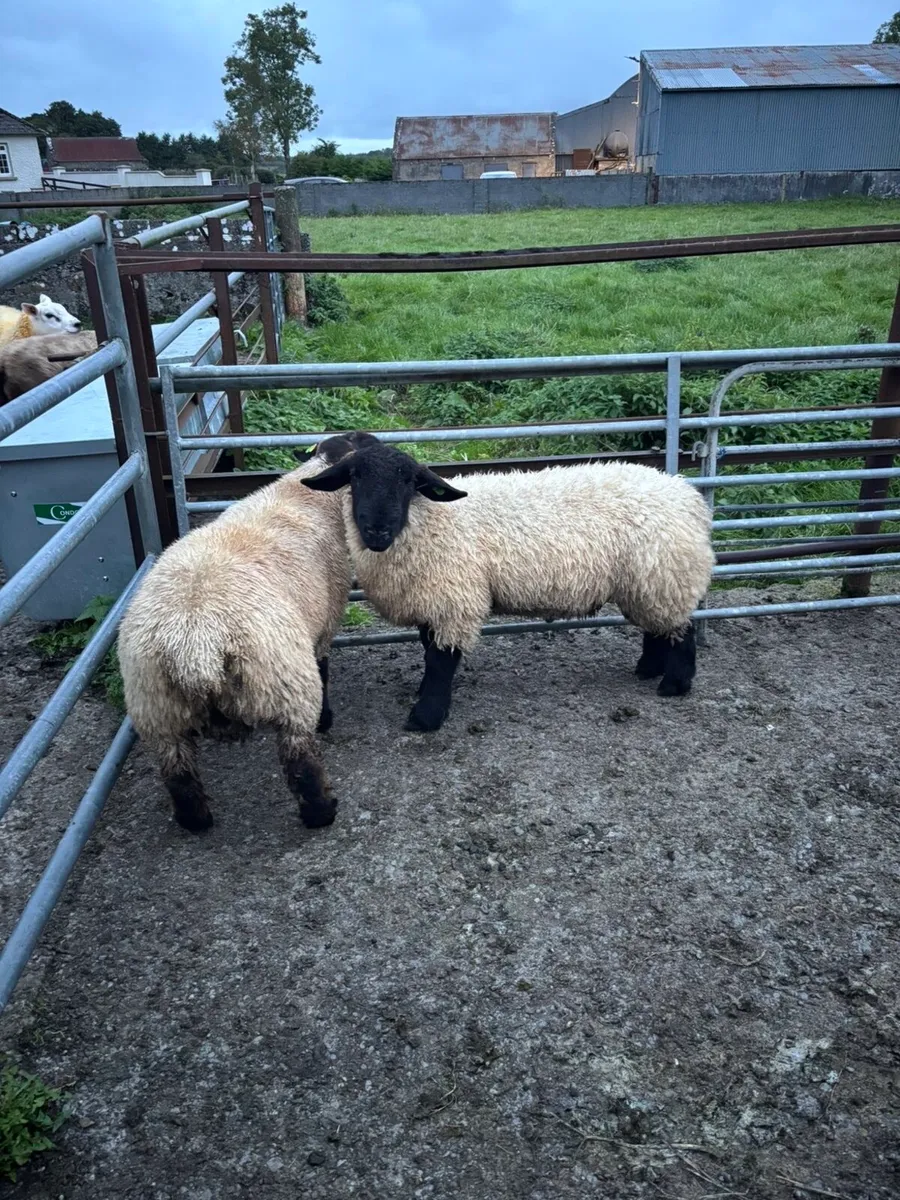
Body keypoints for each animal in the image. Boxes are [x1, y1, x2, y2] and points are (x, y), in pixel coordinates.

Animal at [117, 442, 353, 833]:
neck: (306, 495)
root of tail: (195, 645)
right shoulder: (324, 625)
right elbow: (324, 667)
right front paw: (328, 719)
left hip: (156, 708)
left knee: (178, 774)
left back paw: (196, 821)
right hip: (288, 687)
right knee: (301, 764)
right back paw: (322, 813)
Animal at [303, 432, 714, 733]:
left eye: (408, 481)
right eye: (355, 477)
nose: (376, 530)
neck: (428, 522)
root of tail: (687, 494)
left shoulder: (455, 598)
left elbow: (440, 661)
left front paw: (426, 716)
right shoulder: (435, 599)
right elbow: (427, 649)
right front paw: (423, 697)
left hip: (667, 573)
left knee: (682, 629)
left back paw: (674, 685)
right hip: (648, 580)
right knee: (657, 626)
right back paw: (649, 668)